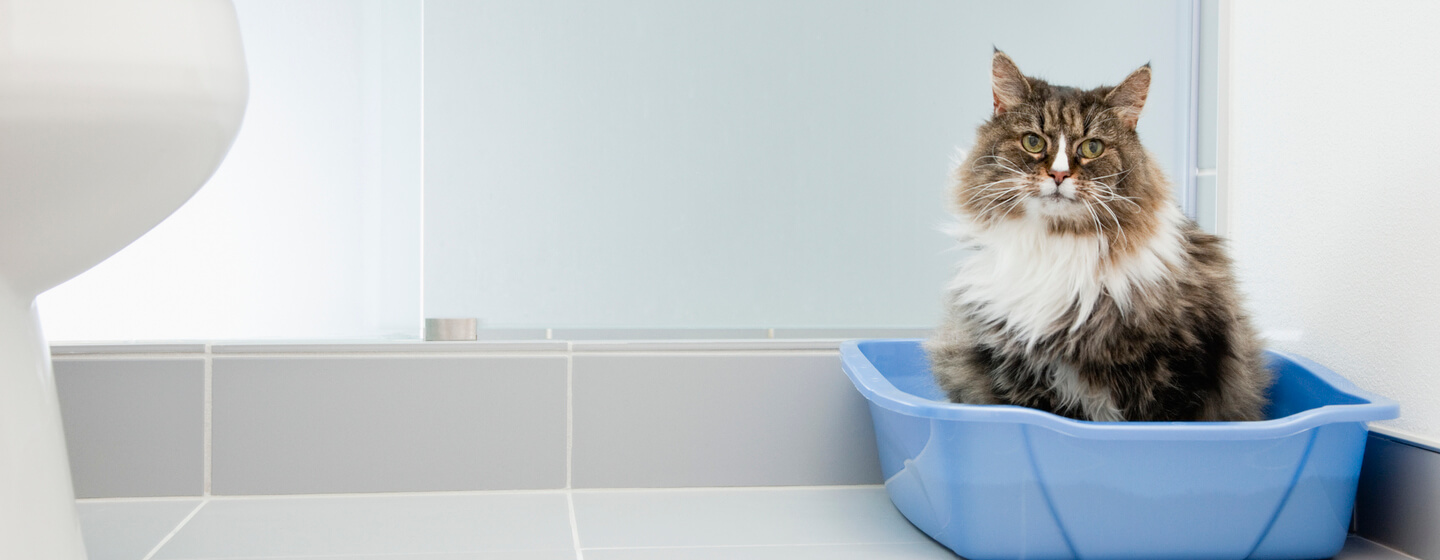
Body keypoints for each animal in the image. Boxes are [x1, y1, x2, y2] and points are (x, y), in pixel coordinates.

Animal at [921, 51, 1272, 420]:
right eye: (1033, 141)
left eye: (1092, 147)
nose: (1059, 175)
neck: (1057, 246)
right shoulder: (1019, 373)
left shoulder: (1180, 370)